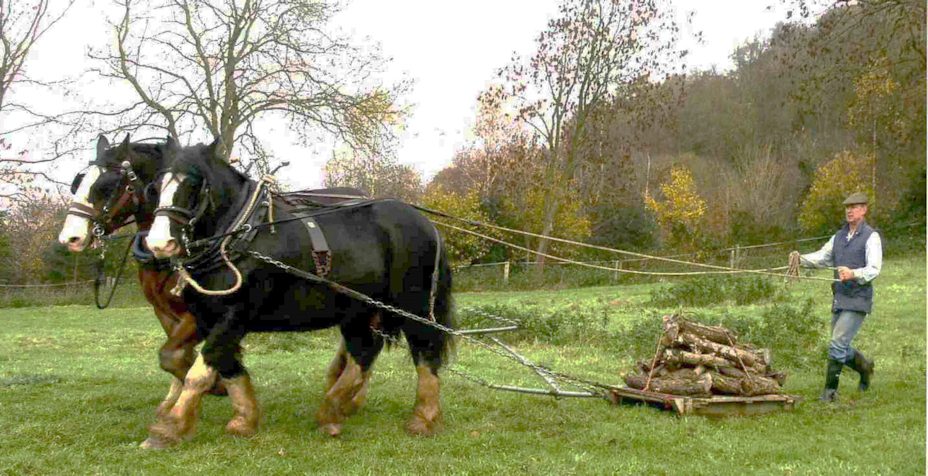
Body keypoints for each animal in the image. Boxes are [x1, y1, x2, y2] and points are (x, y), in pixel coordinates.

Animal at [143, 140, 453, 447]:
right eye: (155, 186)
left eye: (195, 184)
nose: (159, 243)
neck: (239, 236)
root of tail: (426, 223)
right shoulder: (208, 317)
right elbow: (225, 364)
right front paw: (244, 419)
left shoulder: (235, 314)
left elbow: (199, 373)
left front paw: (167, 429)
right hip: (360, 310)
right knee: (362, 354)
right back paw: (331, 412)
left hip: (413, 305)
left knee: (424, 351)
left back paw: (422, 418)